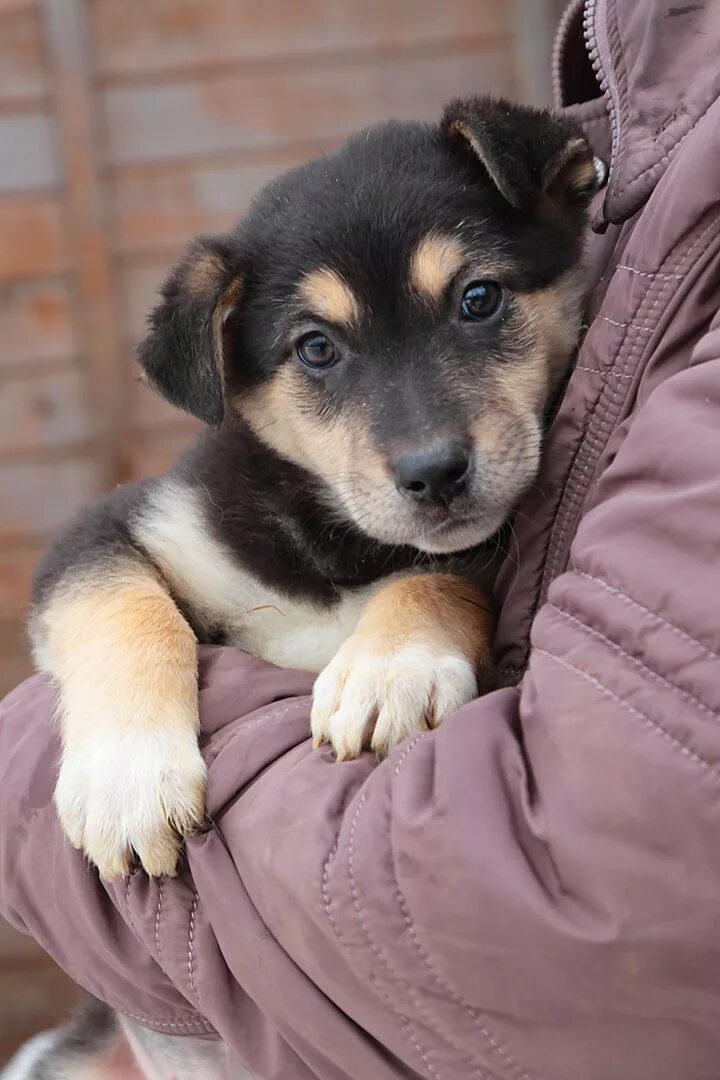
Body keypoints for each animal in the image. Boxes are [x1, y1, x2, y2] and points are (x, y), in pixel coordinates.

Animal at [29, 97, 595, 881]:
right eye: (317, 348)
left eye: (479, 298)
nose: (434, 473)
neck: (332, 546)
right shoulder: (115, 525)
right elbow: (124, 609)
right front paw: (127, 778)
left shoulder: (476, 560)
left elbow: (436, 576)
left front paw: (389, 669)